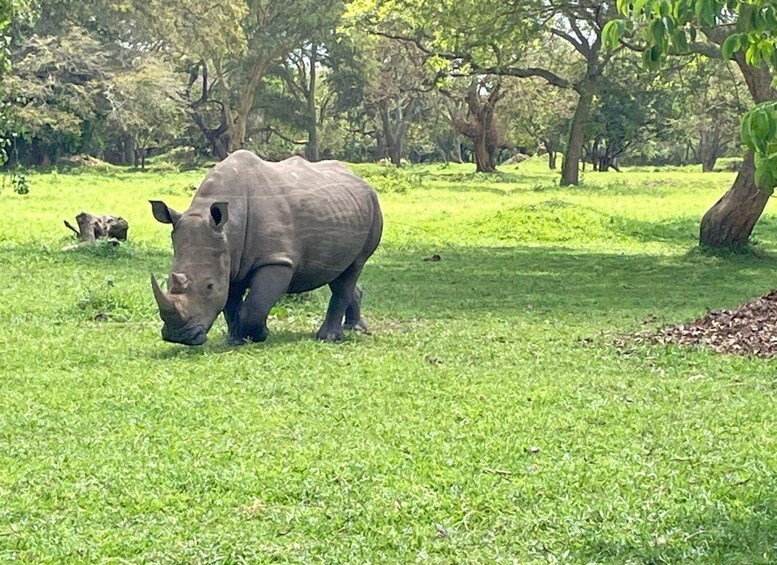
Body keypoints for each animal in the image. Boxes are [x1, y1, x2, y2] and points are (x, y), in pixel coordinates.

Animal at [150, 150, 383, 346]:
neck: (228, 230)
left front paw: (258, 335)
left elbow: (256, 304)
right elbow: (230, 302)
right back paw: (355, 329)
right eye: (169, 281)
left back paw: (329, 338)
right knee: (339, 272)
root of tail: (361, 180)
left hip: (373, 209)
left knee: (354, 267)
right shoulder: (229, 258)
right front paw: (235, 339)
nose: (178, 337)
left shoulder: (276, 259)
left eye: (209, 286)